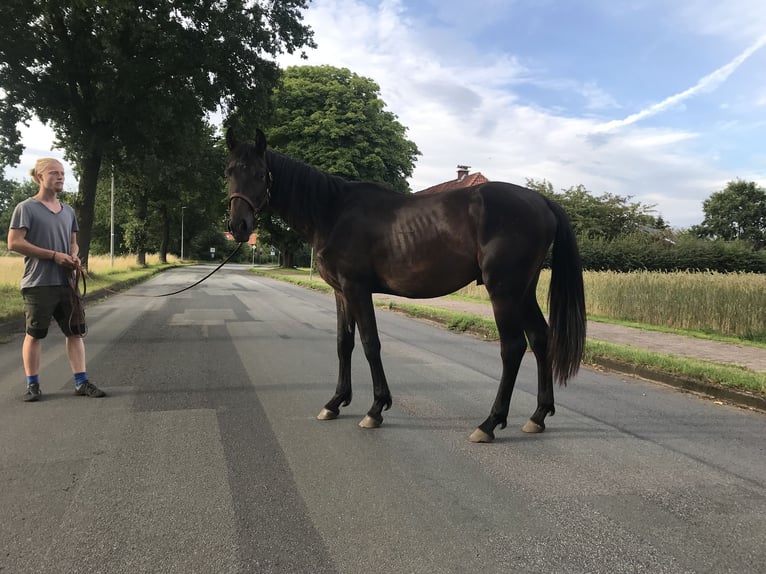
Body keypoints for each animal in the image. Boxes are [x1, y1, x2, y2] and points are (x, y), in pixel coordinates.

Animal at [225, 129, 584, 446]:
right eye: (229, 171)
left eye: (260, 173)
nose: (238, 227)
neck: (333, 211)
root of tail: (541, 199)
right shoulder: (341, 292)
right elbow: (344, 344)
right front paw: (335, 402)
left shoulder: (357, 289)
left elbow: (370, 344)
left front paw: (375, 408)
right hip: (523, 291)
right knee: (540, 338)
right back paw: (538, 416)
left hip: (504, 291)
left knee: (513, 348)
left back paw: (489, 423)